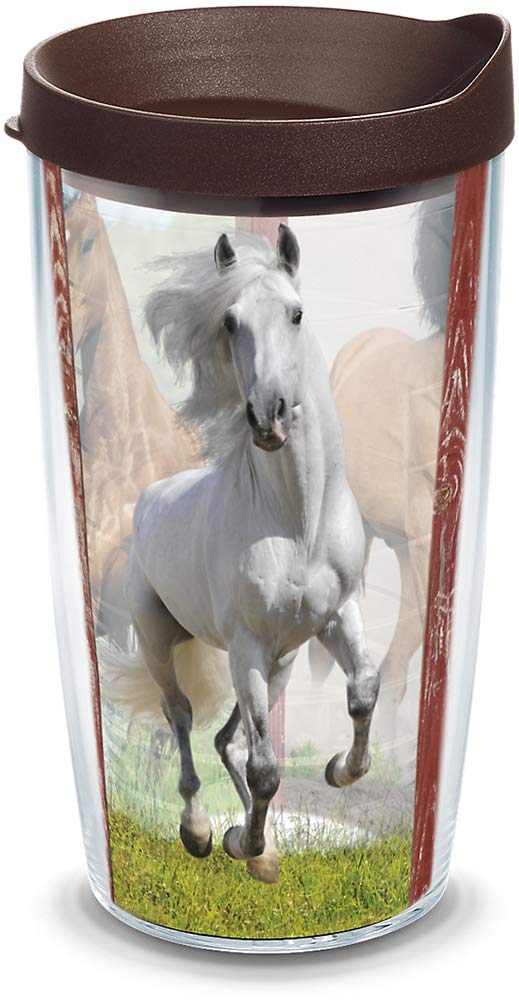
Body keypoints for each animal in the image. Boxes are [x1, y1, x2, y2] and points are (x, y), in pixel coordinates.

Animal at [112, 224, 380, 884]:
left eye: (296, 313)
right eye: (229, 322)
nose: (267, 417)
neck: (297, 521)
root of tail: (151, 496)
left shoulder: (336, 615)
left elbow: (363, 689)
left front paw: (339, 770)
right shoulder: (247, 644)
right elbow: (265, 769)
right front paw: (240, 841)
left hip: (280, 661)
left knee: (225, 739)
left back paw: (259, 851)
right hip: (164, 640)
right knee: (181, 717)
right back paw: (202, 832)